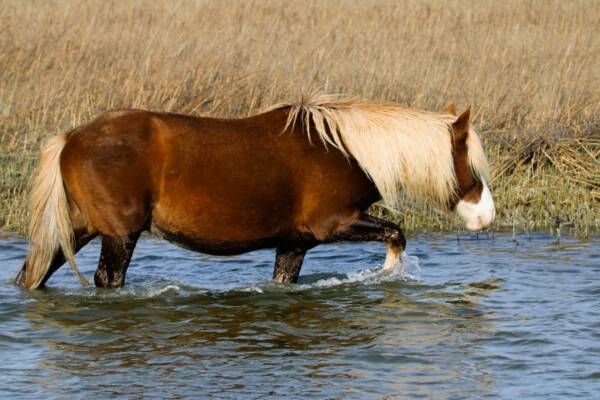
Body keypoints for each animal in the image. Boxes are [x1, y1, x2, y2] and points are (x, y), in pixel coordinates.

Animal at [16, 95, 494, 290]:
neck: (346, 150)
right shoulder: (335, 225)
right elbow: (396, 234)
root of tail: (72, 137)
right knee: (108, 280)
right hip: (119, 235)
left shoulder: (295, 244)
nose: (486, 217)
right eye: (471, 167)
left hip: (78, 229)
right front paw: (389, 273)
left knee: (32, 275)